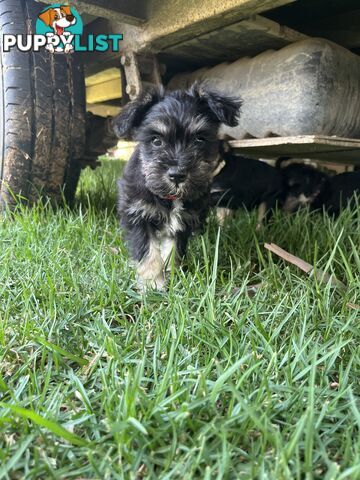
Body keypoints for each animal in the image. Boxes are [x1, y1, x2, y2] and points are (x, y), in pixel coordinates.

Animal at [112, 84, 242, 290]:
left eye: (199, 139)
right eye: (156, 140)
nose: (177, 175)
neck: (170, 197)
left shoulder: (182, 223)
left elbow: (173, 250)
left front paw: (172, 275)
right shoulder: (138, 216)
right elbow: (148, 253)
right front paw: (153, 284)